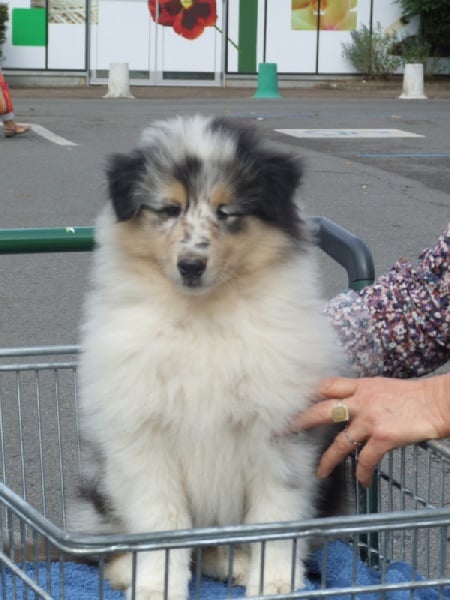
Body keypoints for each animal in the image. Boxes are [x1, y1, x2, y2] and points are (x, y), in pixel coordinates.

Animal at [74, 115, 348, 596]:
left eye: (227, 212)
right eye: (168, 210)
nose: (190, 266)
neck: (203, 318)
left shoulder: (281, 433)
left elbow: (275, 517)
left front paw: (274, 580)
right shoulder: (142, 435)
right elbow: (162, 521)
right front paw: (157, 585)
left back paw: (238, 563)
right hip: (98, 485)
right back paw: (131, 570)